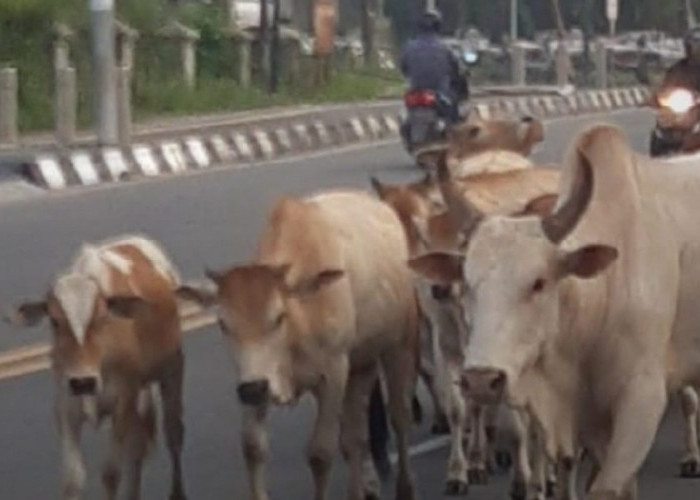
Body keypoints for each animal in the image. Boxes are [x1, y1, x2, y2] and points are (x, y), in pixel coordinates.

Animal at [6, 236, 186, 500]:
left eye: (102, 318)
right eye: (54, 321)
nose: (83, 382)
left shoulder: (123, 402)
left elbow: (110, 473)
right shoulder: (66, 407)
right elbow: (73, 478)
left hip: (172, 371)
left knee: (173, 432)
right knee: (137, 448)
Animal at [178, 190, 418, 500]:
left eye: (279, 316)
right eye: (222, 323)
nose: (254, 389)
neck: (298, 323)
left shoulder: (333, 374)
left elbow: (320, 453)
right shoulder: (253, 379)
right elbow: (253, 447)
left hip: (398, 346)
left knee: (399, 417)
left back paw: (405, 487)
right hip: (361, 366)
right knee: (356, 436)